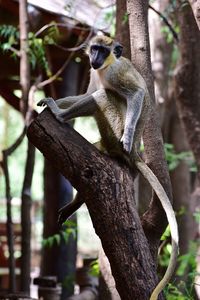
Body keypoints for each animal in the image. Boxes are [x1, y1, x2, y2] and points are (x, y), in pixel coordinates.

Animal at [37, 34, 178, 298]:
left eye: (103, 51)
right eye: (94, 49)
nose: (95, 58)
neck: (105, 68)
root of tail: (134, 155)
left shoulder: (116, 73)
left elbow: (136, 93)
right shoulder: (94, 74)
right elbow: (87, 93)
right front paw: (51, 101)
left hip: (113, 128)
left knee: (102, 97)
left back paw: (60, 116)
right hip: (105, 139)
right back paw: (76, 202)